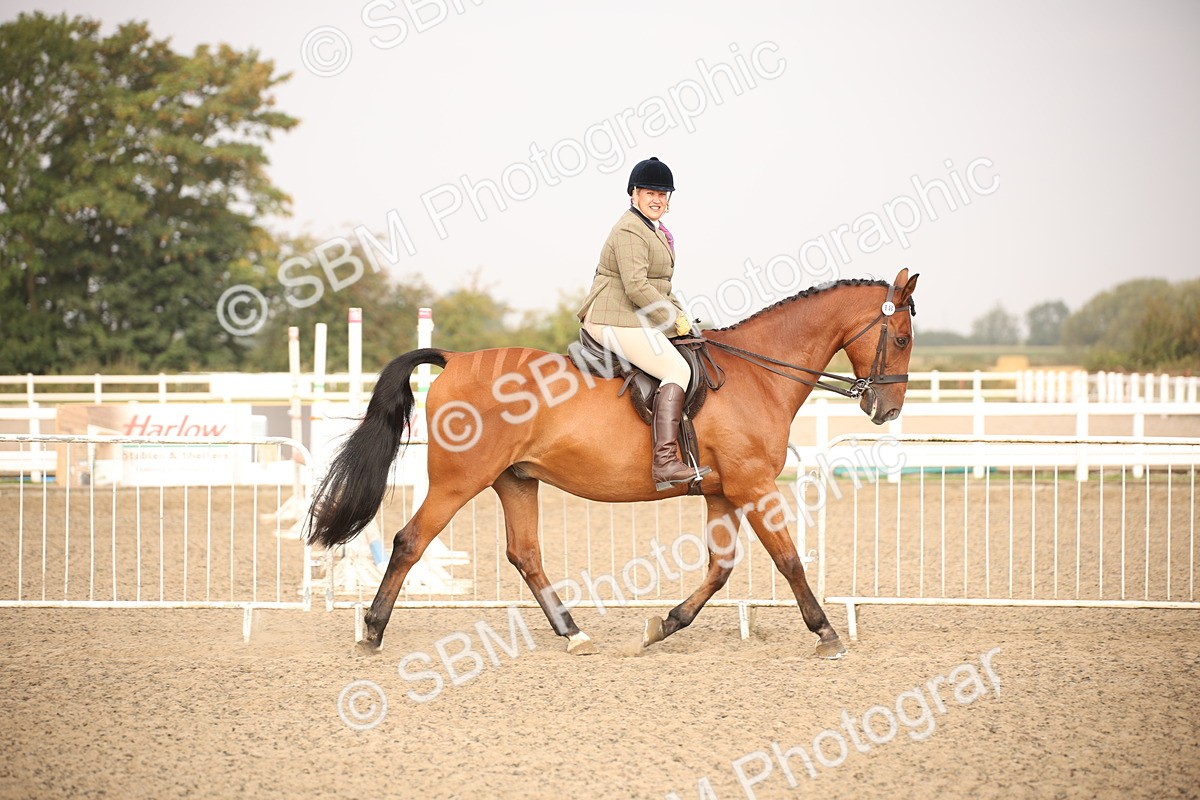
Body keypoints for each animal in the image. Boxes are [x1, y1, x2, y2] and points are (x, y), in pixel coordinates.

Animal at [308, 267, 920, 659]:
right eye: (902, 338)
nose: (886, 410)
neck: (757, 373)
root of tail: (456, 359)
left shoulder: (723, 491)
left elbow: (720, 569)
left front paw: (662, 626)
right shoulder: (754, 483)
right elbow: (788, 559)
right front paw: (826, 633)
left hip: (515, 481)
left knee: (525, 554)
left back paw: (573, 633)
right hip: (460, 482)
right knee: (410, 541)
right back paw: (372, 632)